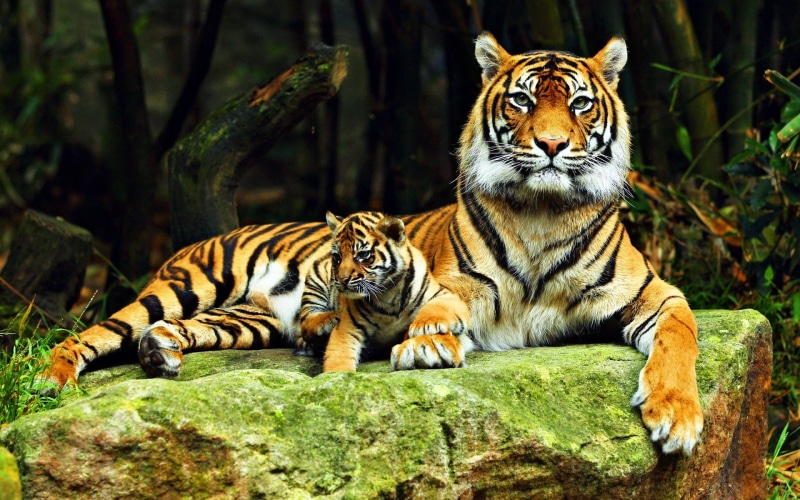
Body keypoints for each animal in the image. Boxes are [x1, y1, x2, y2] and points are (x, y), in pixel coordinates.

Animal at [319, 211, 469, 372]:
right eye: (337, 257)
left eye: (362, 255)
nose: (342, 279)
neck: (387, 294)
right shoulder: (348, 328)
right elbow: (338, 357)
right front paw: (338, 374)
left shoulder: (446, 295)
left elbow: (437, 307)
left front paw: (423, 326)